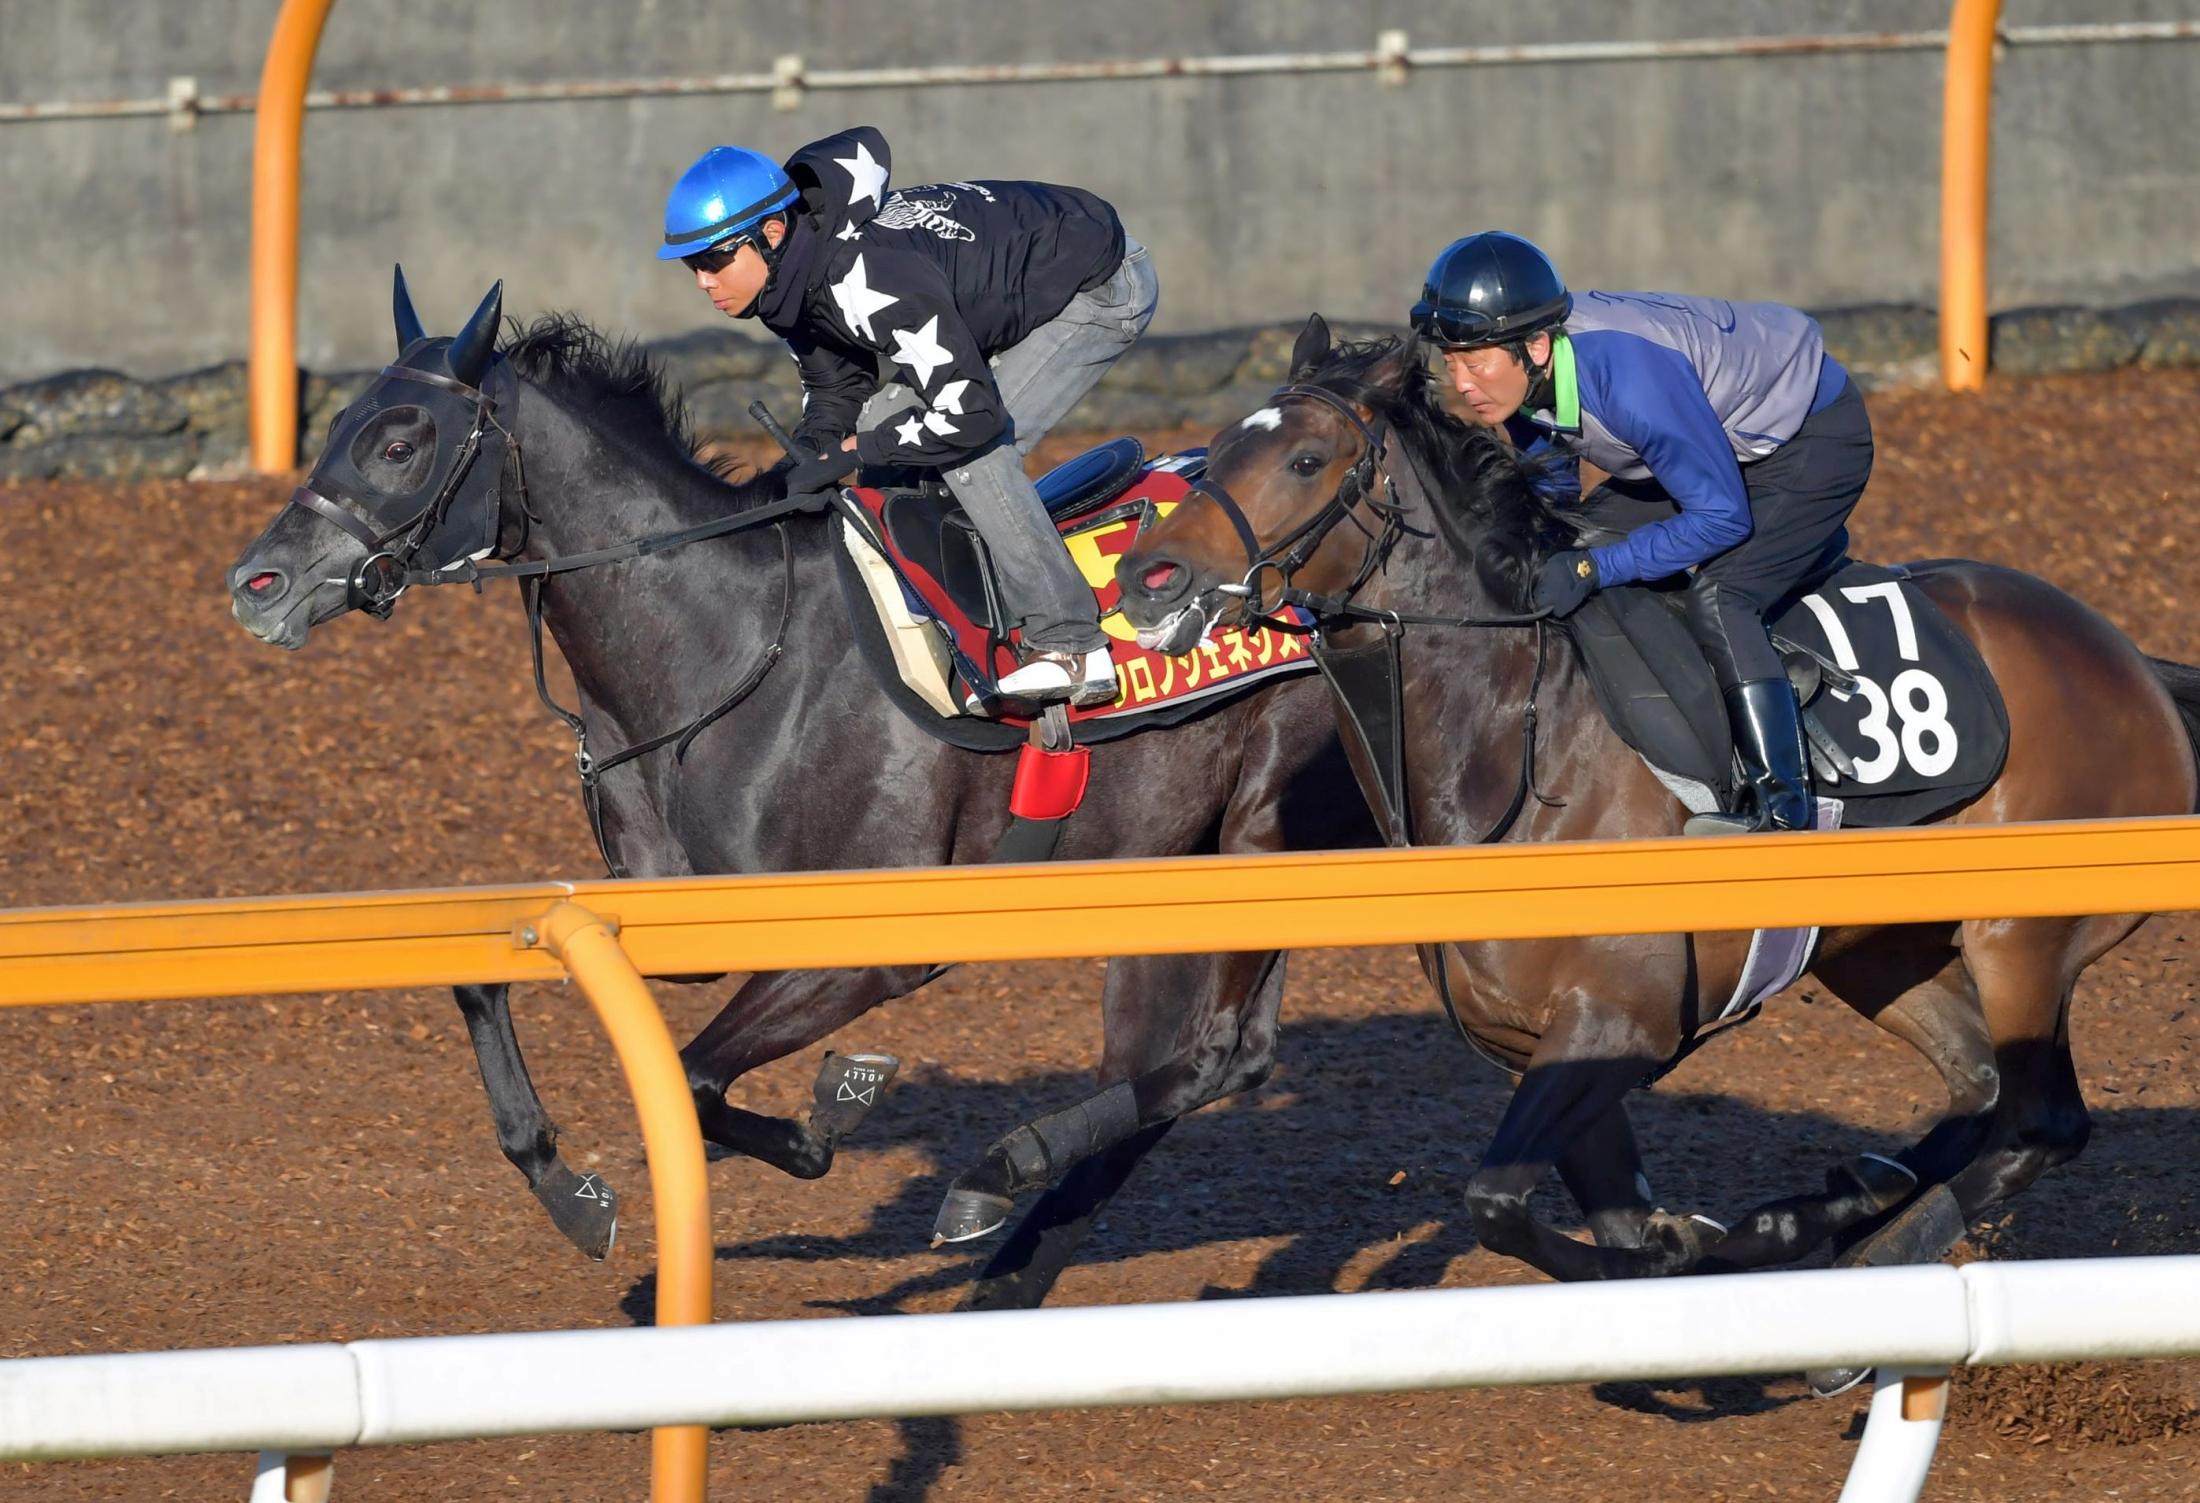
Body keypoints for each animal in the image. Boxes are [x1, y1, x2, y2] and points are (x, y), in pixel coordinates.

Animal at [218, 276, 1355, 1311]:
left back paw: (994, 1192)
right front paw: (574, 1191)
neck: (723, 645)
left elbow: (692, 1081)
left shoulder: (869, 947)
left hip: (1261, 833)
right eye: (340, 427)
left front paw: (835, 1105)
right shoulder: (681, 912)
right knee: (1177, 1067)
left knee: (1218, 1056)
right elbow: (487, 985)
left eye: (400, 443)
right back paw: (1004, 1262)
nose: (255, 585)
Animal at [1117, 316, 2200, 1320]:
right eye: (1218, 448)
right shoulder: (1545, 1045)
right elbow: (1599, 1219)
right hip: (1881, 950)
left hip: (2020, 940)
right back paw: (1826, 1209)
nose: (1145, 578)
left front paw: (1700, 1254)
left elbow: (1502, 1206)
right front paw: (1708, 1242)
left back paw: (1862, 1269)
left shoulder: (1619, 1022)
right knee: (1979, 1091)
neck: (1517, 746)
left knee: (2040, 1124)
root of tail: (2130, 663)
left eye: (1305, 460)